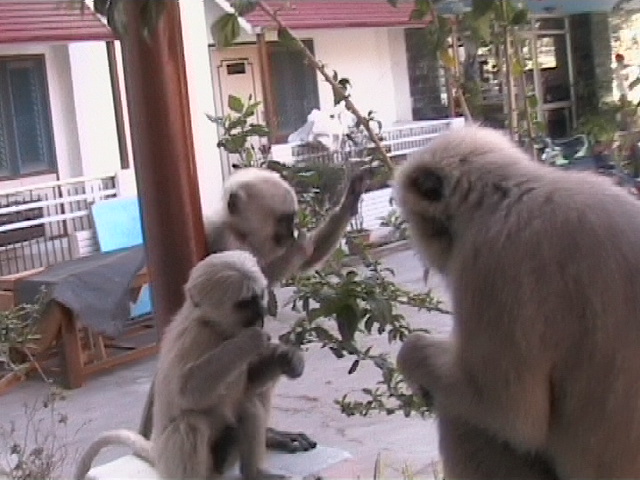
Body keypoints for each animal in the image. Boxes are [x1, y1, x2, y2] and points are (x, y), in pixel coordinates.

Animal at [74, 251, 304, 480]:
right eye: (245, 303)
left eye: (258, 296)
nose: (261, 312)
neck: (215, 327)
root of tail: (157, 452)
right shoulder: (198, 335)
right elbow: (187, 392)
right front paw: (250, 341)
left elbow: (249, 384)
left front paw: (287, 358)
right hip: (173, 464)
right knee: (189, 424)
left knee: (249, 405)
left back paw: (254, 472)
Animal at [140, 166, 370, 454]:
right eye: (284, 221)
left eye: (292, 219)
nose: (291, 233)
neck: (239, 232)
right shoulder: (229, 242)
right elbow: (248, 278)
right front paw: (299, 248)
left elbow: (303, 262)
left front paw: (350, 200)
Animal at [392, 124, 640, 480]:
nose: (418, 238)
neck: (515, 192)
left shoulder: (491, 258)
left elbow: (511, 414)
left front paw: (411, 354)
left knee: (460, 414)